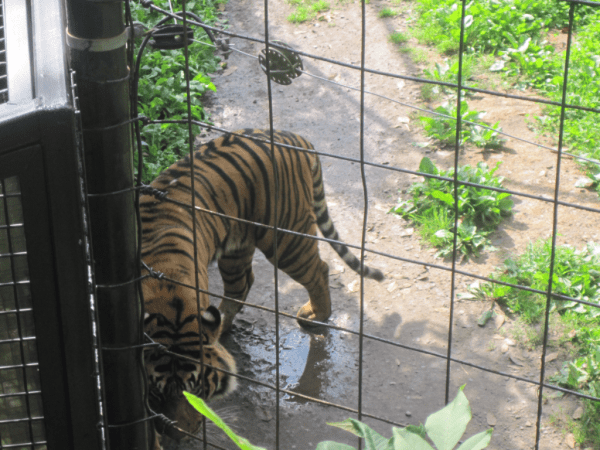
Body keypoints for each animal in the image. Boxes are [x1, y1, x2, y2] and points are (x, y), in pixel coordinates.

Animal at [141, 128, 384, 442]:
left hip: (285, 238)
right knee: (242, 285)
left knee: (319, 269)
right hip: (236, 247)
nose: (180, 435)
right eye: (157, 394)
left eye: (195, 391)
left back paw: (316, 315)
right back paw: (225, 327)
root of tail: (294, 136)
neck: (168, 300)